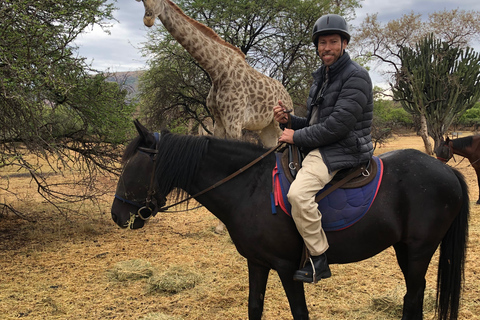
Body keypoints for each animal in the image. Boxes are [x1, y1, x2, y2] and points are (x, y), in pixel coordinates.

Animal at [110, 120, 466, 320]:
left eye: (132, 167)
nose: (117, 214)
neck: (250, 188)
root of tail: (446, 170)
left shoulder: (286, 267)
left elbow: (299, 313)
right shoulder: (257, 263)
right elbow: (254, 307)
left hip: (419, 250)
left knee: (414, 296)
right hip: (404, 249)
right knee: (412, 297)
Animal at [134, 0, 292, 147]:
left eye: (159, 1)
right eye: (143, 1)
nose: (148, 19)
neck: (217, 71)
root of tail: (287, 95)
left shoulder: (234, 121)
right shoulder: (219, 121)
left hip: (280, 125)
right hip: (266, 128)